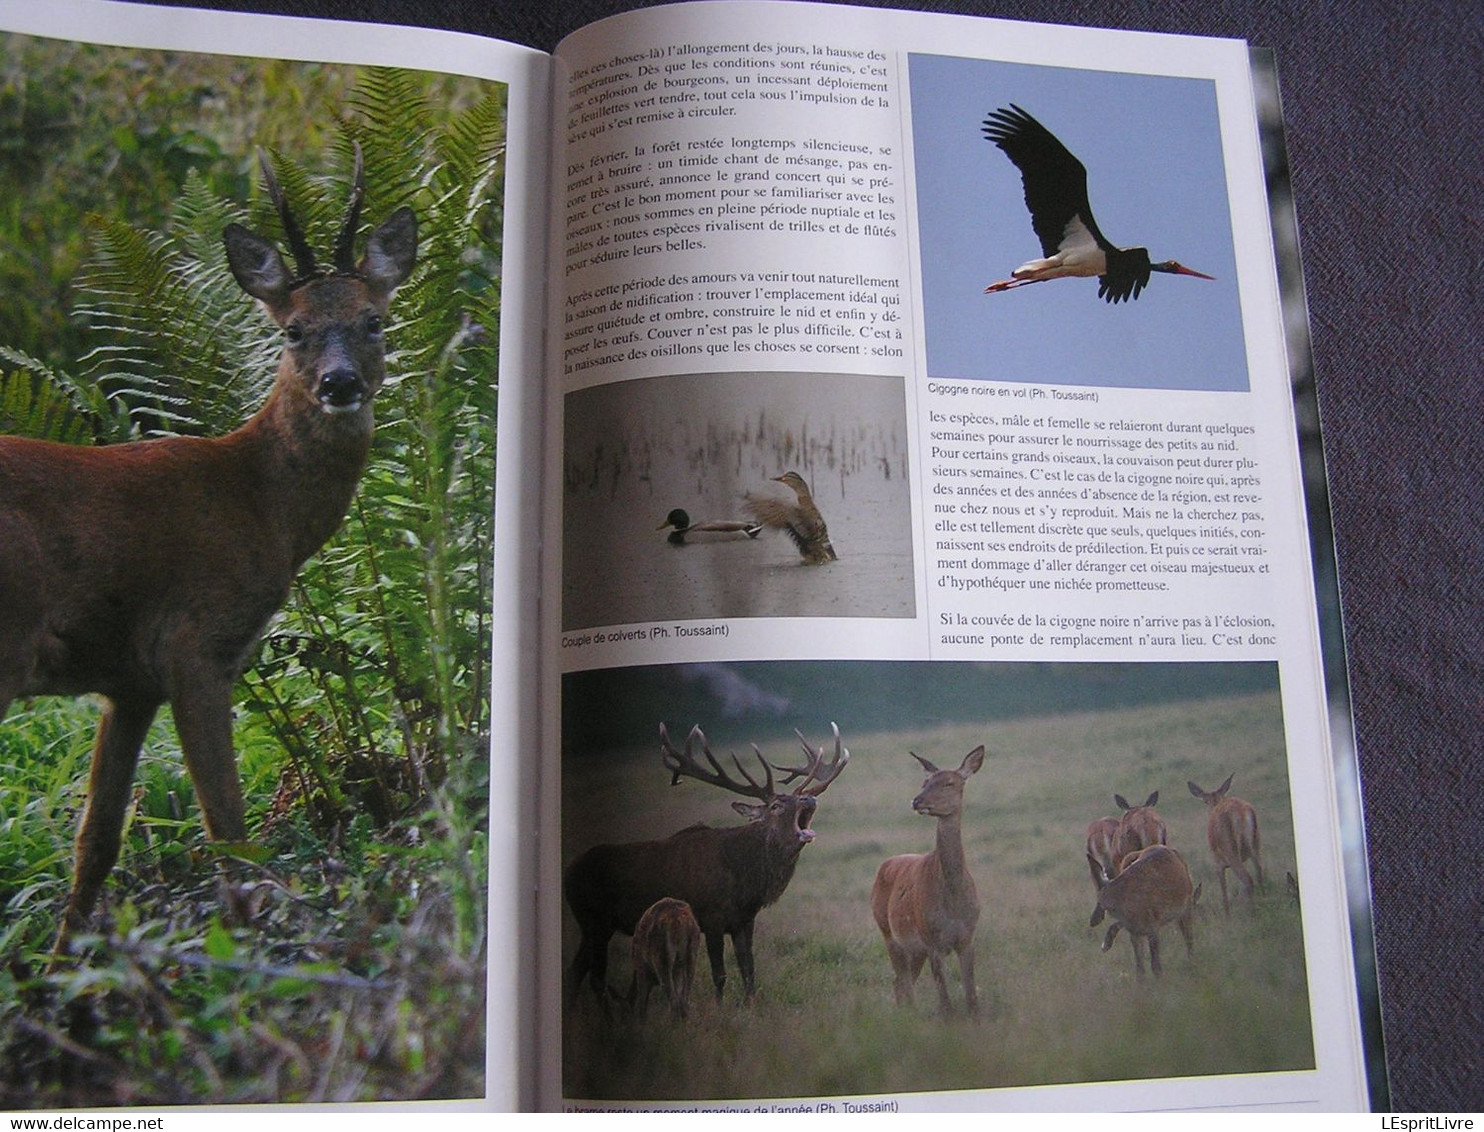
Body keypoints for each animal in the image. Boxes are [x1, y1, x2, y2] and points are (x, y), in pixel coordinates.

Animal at [2, 143, 418, 955]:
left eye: (374, 320)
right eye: (292, 330)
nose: (340, 384)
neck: (259, 504)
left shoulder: (128, 681)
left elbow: (96, 841)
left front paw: (62, 969)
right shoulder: (196, 641)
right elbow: (230, 830)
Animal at [563, 721, 848, 1002]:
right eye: (776, 805)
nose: (809, 798)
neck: (744, 880)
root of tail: (568, 873)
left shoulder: (744, 920)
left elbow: (748, 970)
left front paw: (749, 1005)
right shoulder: (711, 916)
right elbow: (719, 974)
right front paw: (720, 1008)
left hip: (597, 924)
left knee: (576, 971)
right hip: (593, 920)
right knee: (593, 977)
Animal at [866, 747, 985, 1014]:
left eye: (950, 782)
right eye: (925, 782)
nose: (917, 800)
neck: (953, 901)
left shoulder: (968, 937)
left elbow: (972, 997)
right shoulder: (931, 939)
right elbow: (945, 1001)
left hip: (914, 948)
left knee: (901, 981)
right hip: (888, 932)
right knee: (901, 980)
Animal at [1193, 777, 1264, 913]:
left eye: (1205, 801)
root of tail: (1241, 813)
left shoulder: (1218, 863)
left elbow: (1224, 894)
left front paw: (1227, 915)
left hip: (1230, 850)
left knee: (1248, 879)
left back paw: (1253, 912)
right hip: (1255, 844)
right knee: (1259, 873)